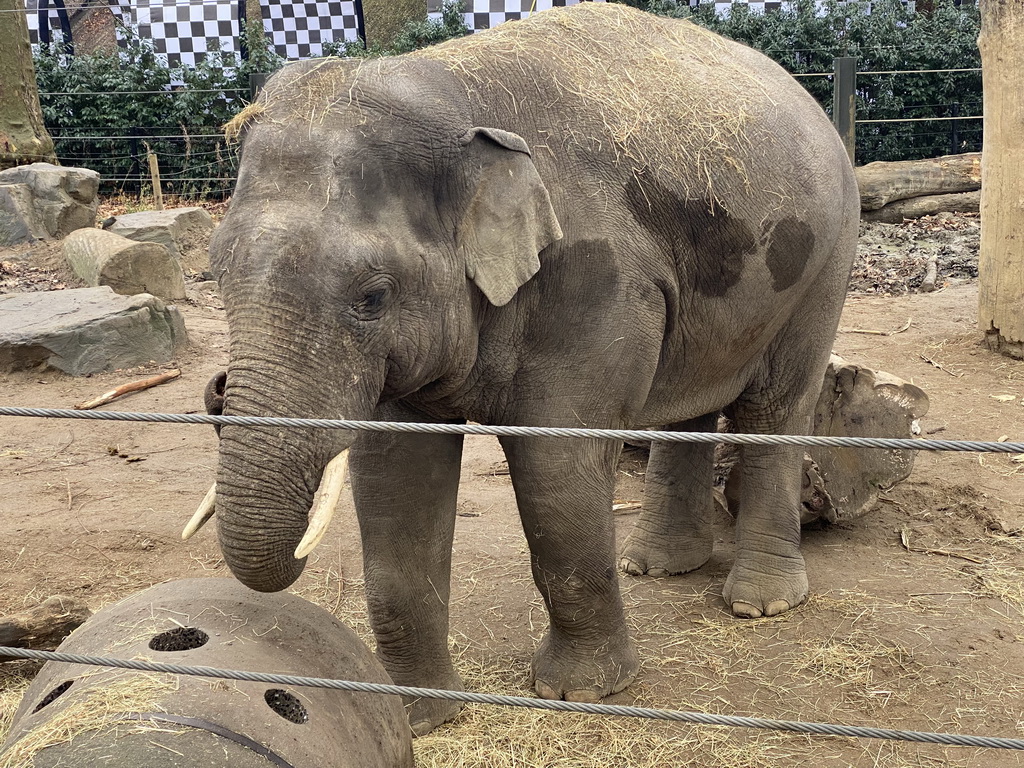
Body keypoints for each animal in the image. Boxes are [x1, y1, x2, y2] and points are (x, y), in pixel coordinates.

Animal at [190, 4, 856, 741]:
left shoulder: (594, 280)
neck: (451, 98)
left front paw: (582, 693)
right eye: (215, 274)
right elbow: (394, 475)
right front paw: (418, 716)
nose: (216, 392)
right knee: (690, 406)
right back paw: (655, 567)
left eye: (373, 295)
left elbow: (555, 469)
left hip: (824, 260)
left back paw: (760, 604)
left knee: (775, 405)